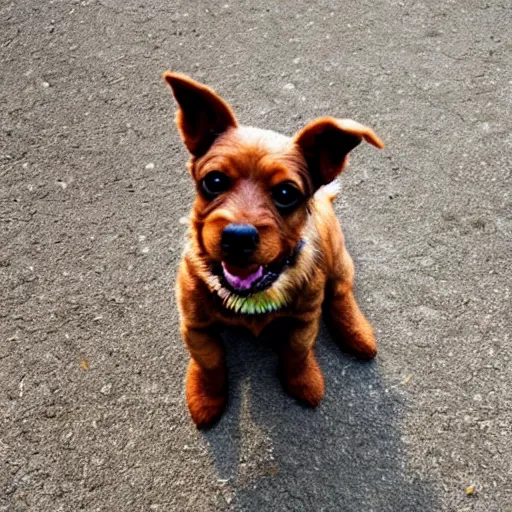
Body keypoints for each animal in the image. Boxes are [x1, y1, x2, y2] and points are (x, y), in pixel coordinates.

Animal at [164, 70, 384, 426]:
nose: (238, 236)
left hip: (338, 259)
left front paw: (303, 381)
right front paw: (206, 395)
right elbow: (209, 362)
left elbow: (297, 353)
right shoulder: (195, 325)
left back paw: (357, 334)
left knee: (341, 292)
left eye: (285, 193)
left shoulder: (305, 321)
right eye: (213, 181)